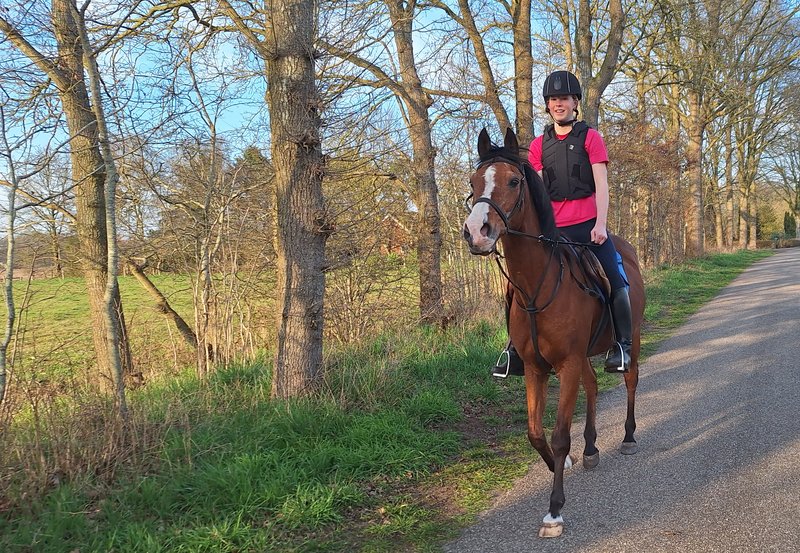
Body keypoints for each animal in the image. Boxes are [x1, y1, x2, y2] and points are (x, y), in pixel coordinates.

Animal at [462, 127, 646, 538]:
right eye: (473, 182)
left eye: (513, 181)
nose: (477, 233)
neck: (538, 285)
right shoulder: (536, 368)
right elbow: (535, 432)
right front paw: (565, 464)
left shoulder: (568, 363)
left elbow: (561, 435)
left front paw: (555, 509)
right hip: (582, 358)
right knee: (593, 387)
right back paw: (591, 449)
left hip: (632, 340)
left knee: (629, 380)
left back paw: (627, 436)